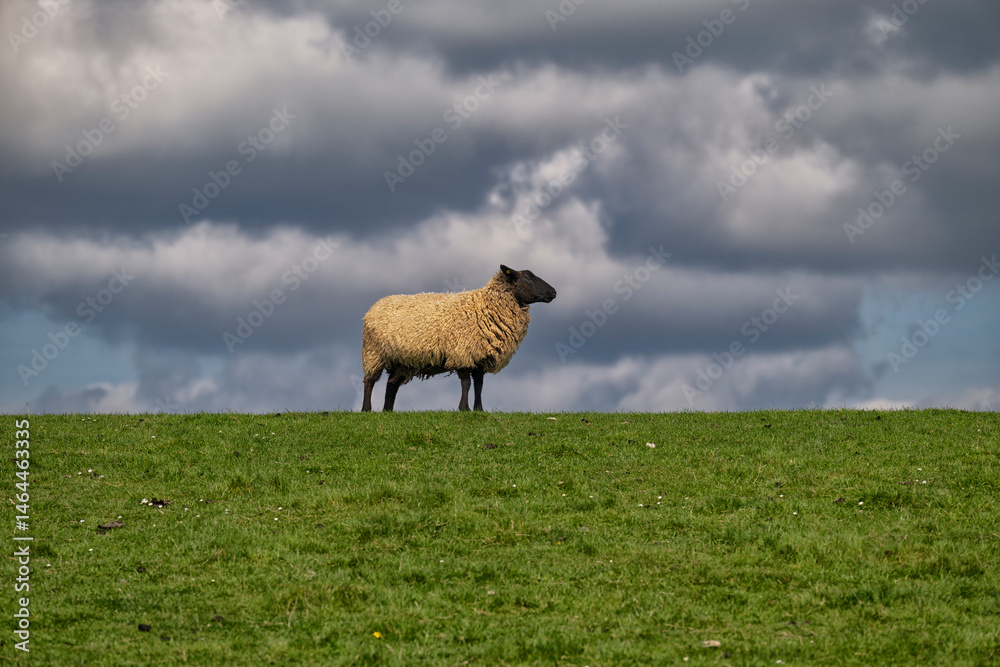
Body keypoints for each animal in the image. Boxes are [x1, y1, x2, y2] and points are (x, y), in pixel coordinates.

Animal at [361, 264, 556, 412]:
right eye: (529, 278)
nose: (554, 292)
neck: (486, 306)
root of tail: (374, 306)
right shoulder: (463, 352)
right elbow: (466, 383)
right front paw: (464, 408)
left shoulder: (480, 356)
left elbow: (479, 384)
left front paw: (479, 409)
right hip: (374, 353)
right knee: (369, 382)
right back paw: (366, 409)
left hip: (399, 360)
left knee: (391, 386)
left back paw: (388, 410)